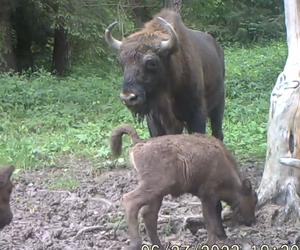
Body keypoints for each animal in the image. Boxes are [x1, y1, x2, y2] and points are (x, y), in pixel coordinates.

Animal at [105, 8, 225, 140]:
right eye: (121, 61)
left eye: (151, 62)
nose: (128, 98)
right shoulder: (154, 118)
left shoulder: (196, 113)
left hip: (218, 105)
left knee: (217, 132)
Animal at [111, 124, 256, 249]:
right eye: (253, 199)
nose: (252, 221)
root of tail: (140, 143)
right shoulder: (207, 195)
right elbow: (210, 219)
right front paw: (213, 242)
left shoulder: (210, 196)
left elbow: (216, 213)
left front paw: (223, 236)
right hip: (153, 187)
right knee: (130, 200)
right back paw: (136, 243)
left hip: (157, 194)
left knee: (149, 215)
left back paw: (158, 245)